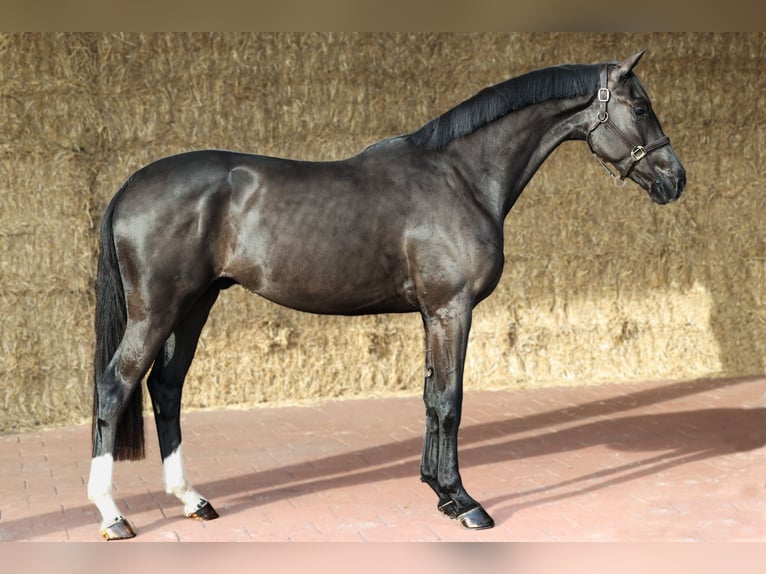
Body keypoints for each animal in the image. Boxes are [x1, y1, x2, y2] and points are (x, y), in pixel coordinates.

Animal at [87, 50, 686, 540]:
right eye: (641, 107)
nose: (675, 180)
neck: (459, 176)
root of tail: (130, 185)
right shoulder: (451, 310)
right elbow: (449, 402)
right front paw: (465, 502)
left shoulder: (431, 314)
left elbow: (429, 397)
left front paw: (439, 492)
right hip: (157, 310)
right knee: (115, 387)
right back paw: (113, 515)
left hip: (195, 304)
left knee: (165, 388)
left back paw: (193, 500)